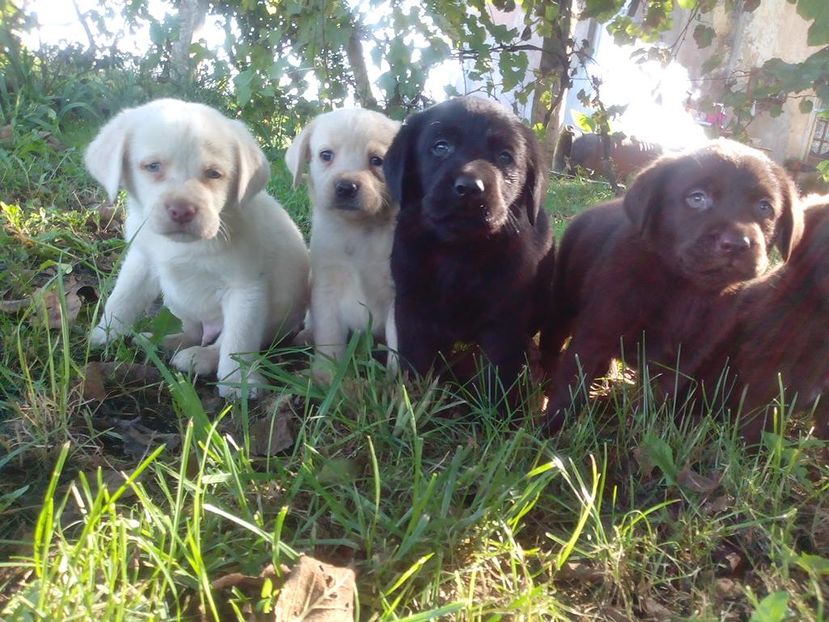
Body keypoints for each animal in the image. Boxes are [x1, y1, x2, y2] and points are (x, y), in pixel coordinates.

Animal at [86, 98, 310, 400]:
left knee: (221, 341)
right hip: (177, 303)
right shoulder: (141, 261)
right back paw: (165, 341)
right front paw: (104, 334)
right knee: (191, 330)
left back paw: (199, 357)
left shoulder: (246, 291)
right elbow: (122, 299)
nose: (182, 210)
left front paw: (237, 381)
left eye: (214, 174)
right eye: (153, 166)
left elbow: (237, 343)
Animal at [284, 108, 402, 372]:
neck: (358, 231)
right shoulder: (326, 286)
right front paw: (325, 374)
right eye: (325, 155)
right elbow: (329, 337)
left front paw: (398, 379)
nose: (346, 187)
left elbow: (399, 342)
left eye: (377, 160)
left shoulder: (399, 293)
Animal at [384, 97, 552, 410]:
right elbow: (415, 359)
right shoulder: (411, 306)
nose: (471, 189)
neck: (459, 251)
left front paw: (496, 414)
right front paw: (411, 403)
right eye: (441, 147)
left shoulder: (504, 317)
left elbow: (499, 370)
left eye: (504, 157)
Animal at [540, 140, 804, 434]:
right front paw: (548, 434)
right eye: (697, 198)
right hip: (563, 300)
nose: (736, 244)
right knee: (553, 337)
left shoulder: (686, 356)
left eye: (764, 207)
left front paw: (639, 432)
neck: (685, 288)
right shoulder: (596, 332)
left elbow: (656, 396)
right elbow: (570, 388)